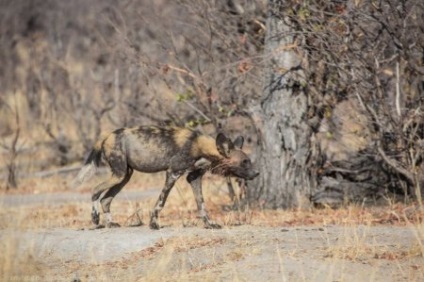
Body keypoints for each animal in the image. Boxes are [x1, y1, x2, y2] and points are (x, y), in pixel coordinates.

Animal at [74, 125, 256, 229]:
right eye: (244, 162)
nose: (256, 173)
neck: (200, 146)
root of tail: (107, 135)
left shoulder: (194, 178)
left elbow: (202, 205)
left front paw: (209, 224)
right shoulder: (172, 173)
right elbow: (161, 202)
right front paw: (154, 223)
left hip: (125, 176)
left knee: (105, 199)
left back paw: (110, 223)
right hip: (119, 175)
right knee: (95, 190)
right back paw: (95, 219)